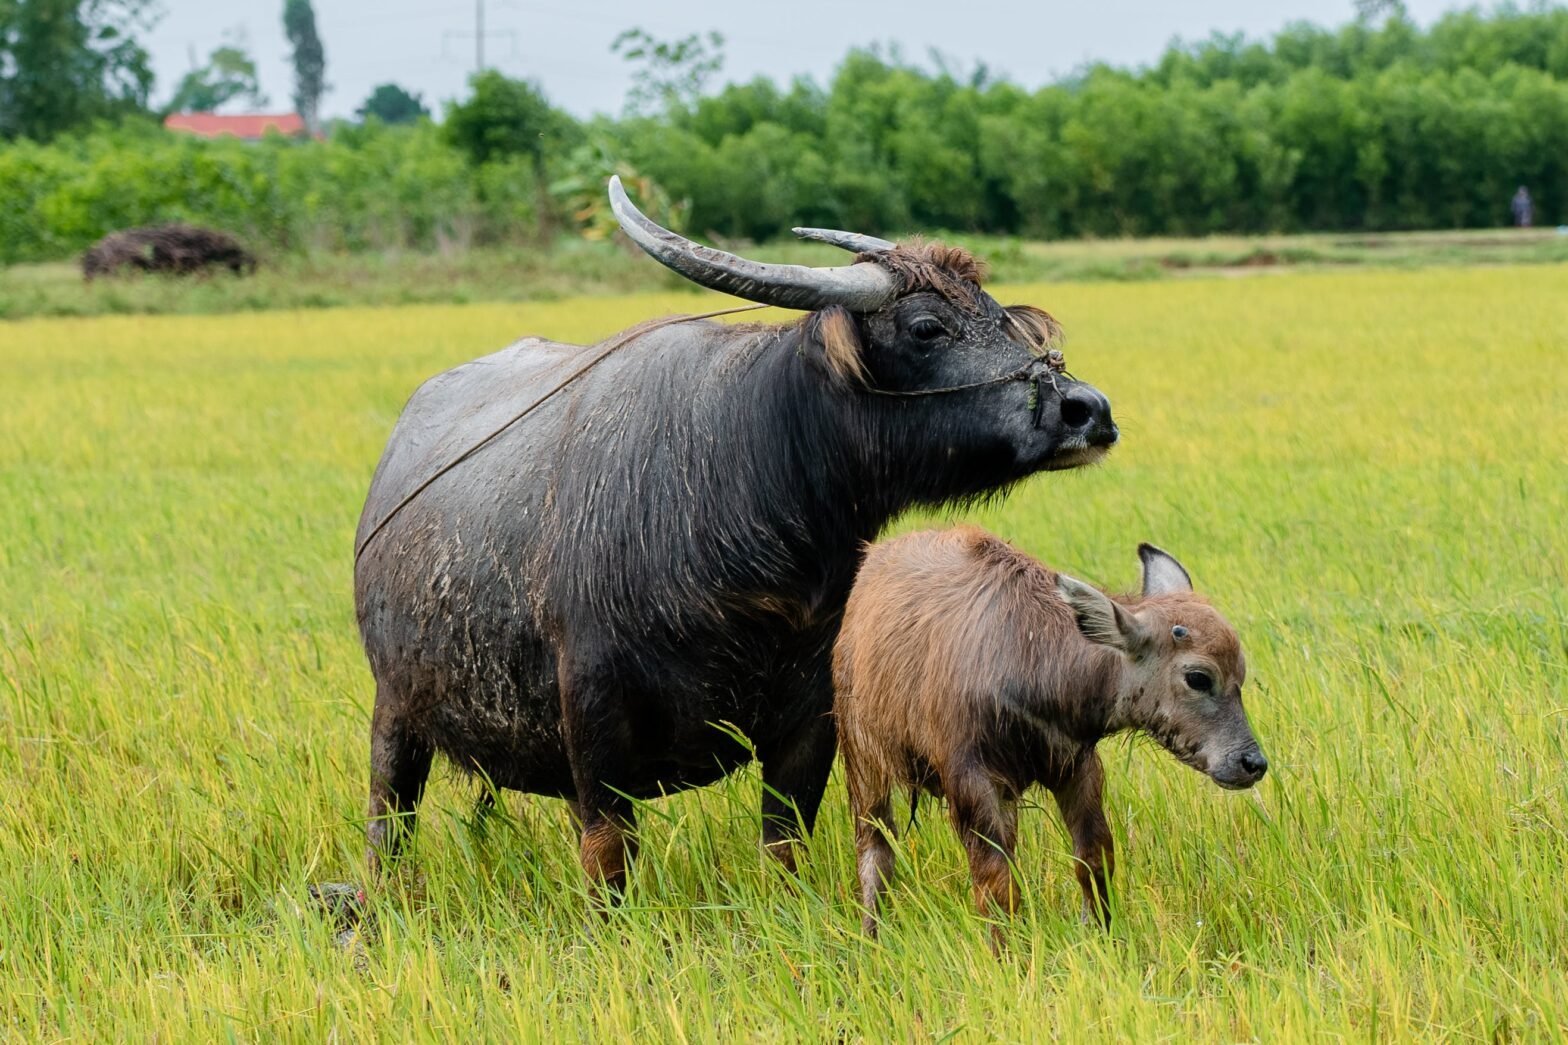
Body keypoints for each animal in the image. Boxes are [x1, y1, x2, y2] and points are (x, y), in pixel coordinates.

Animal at [355, 177, 1116, 884]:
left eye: (1000, 317)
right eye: (927, 326)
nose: (1088, 410)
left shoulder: (810, 716)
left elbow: (783, 842)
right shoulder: (594, 716)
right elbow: (608, 854)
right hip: (394, 713)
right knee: (389, 818)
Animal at [834, 524, 1260, 941]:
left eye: (1240, 673)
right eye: (1198, 677)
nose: (1252, 762)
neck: (1032, 659)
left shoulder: (1076, 767)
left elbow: (1094, 859)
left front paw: (1098, 936)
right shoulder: (971, 781)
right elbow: (996, 883)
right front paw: (1006, 955)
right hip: (864, 760)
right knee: (875, 851)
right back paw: (871, 937)